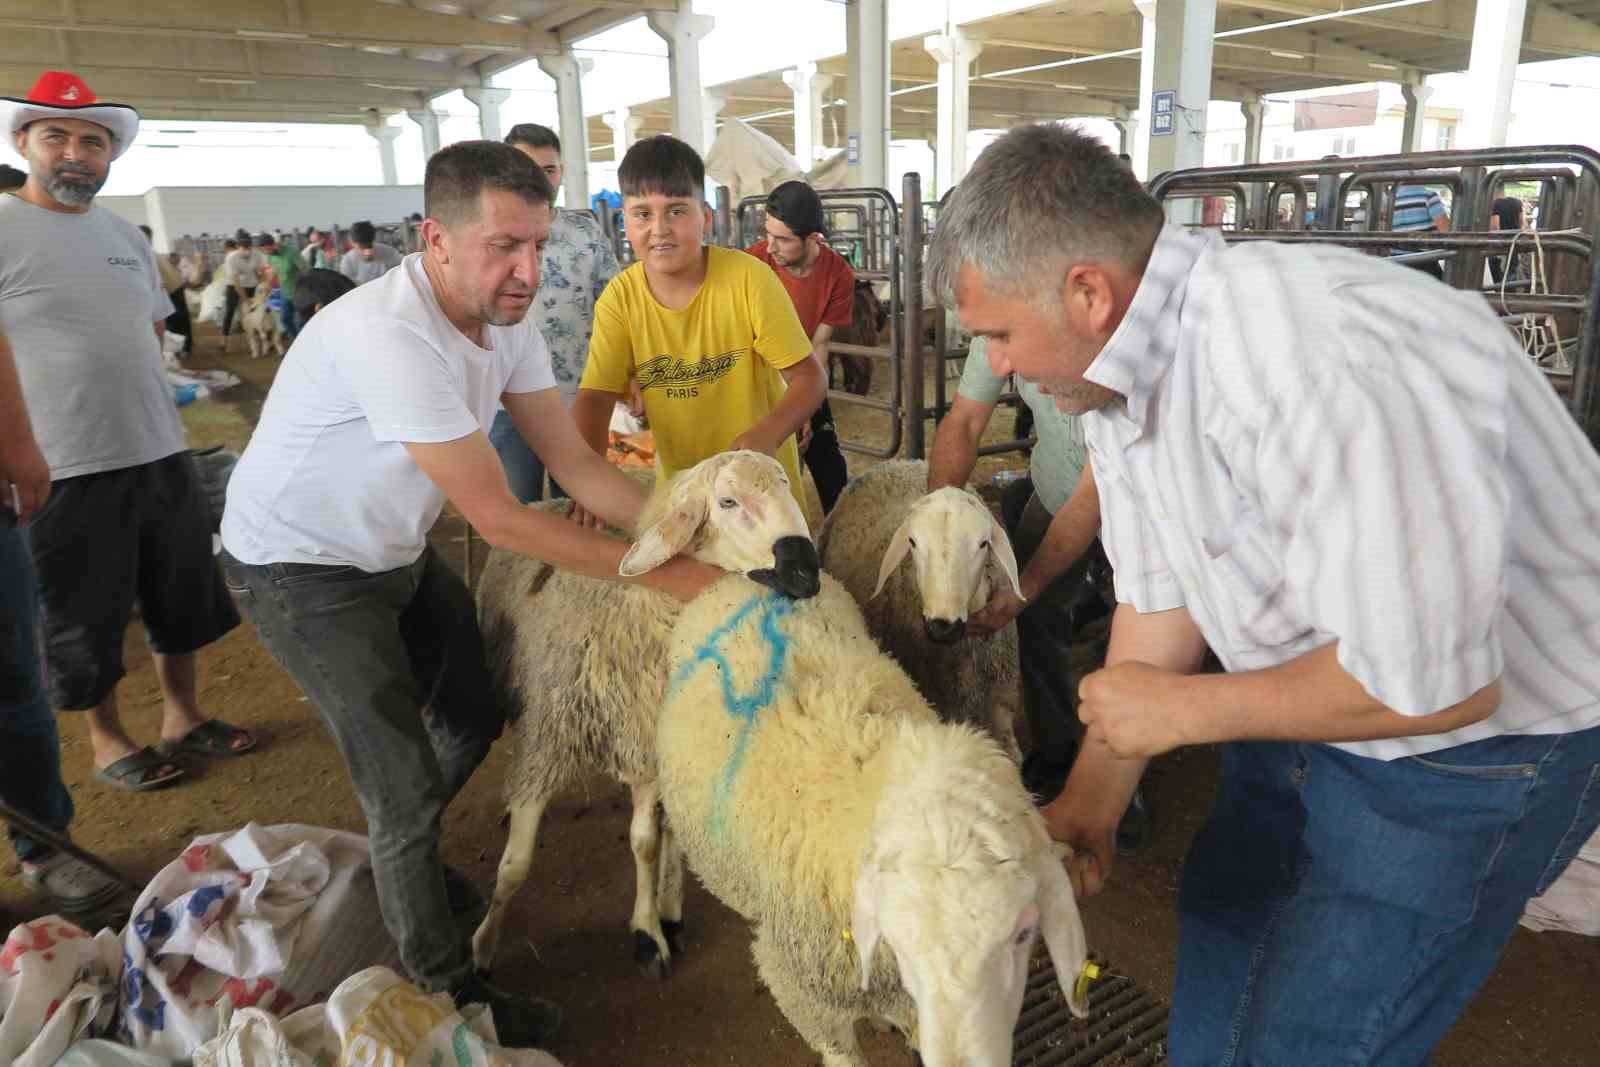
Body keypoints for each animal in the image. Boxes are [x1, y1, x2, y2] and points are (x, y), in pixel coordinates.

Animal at [467, 447, 819, 979]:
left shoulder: (646, 748)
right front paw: (483, 948)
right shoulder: (546, 741)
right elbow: (515, 866)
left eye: (785, 486)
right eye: (728, 501)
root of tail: (546, 501)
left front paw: (648, 930)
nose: (807, 573)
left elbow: (645, 842)